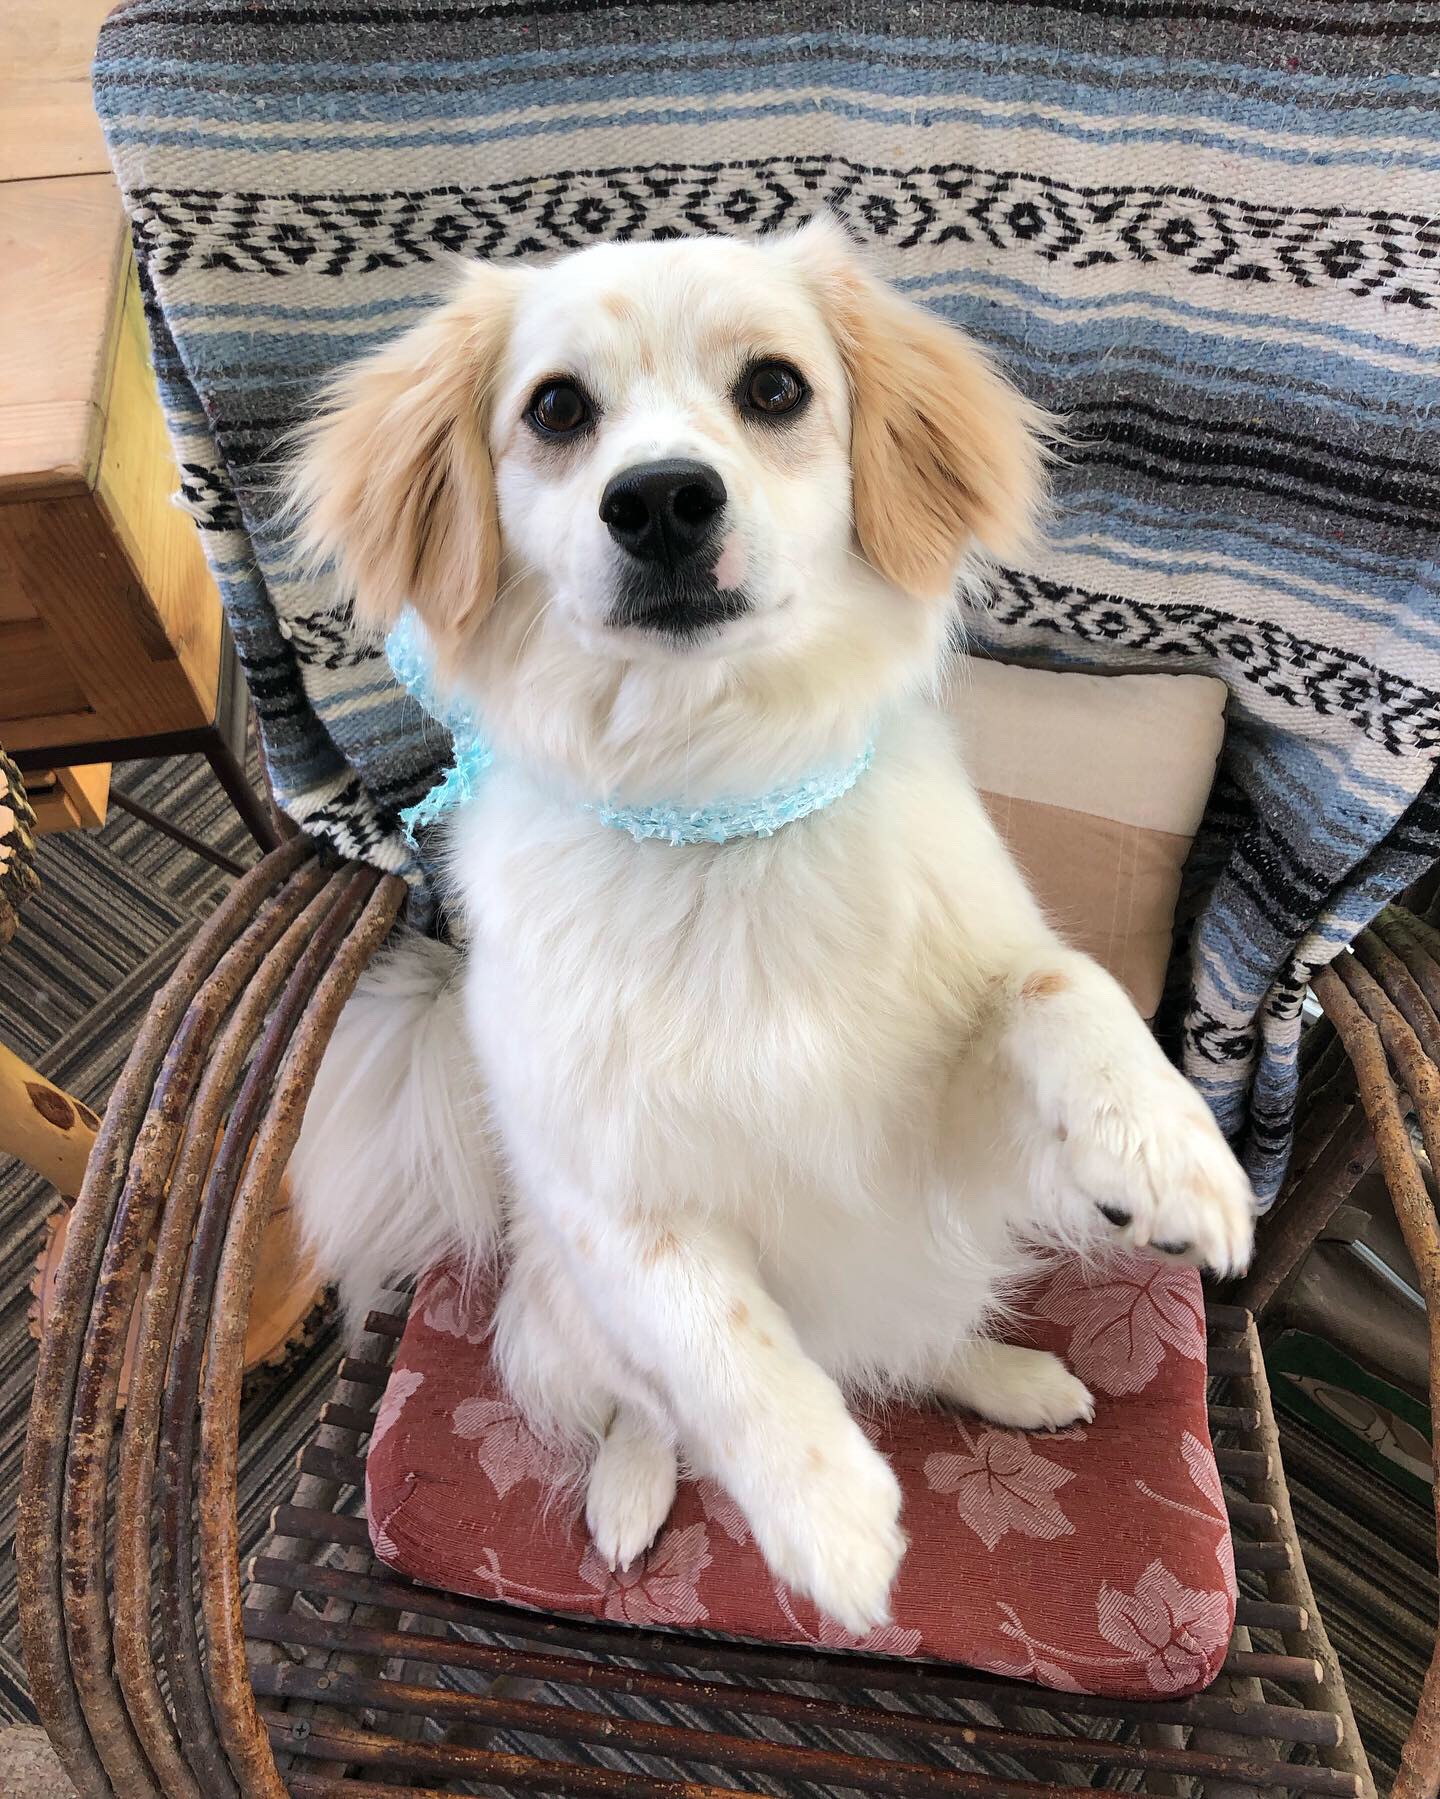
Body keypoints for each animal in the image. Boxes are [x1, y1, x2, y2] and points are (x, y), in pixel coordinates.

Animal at [288, 218, 1254, 1635]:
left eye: (776, 388)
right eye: (557, 409)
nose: (661, 500)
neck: (718, 816)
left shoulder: (934, 1118)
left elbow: (1055, 985)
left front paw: (1169, 1153)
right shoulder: (613, 1193)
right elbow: (714, 1332)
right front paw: (826, 1511)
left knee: (924, 1329)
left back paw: (1009, 1375)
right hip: (569, 1313)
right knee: (646, 1403)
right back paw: (634, 1488)